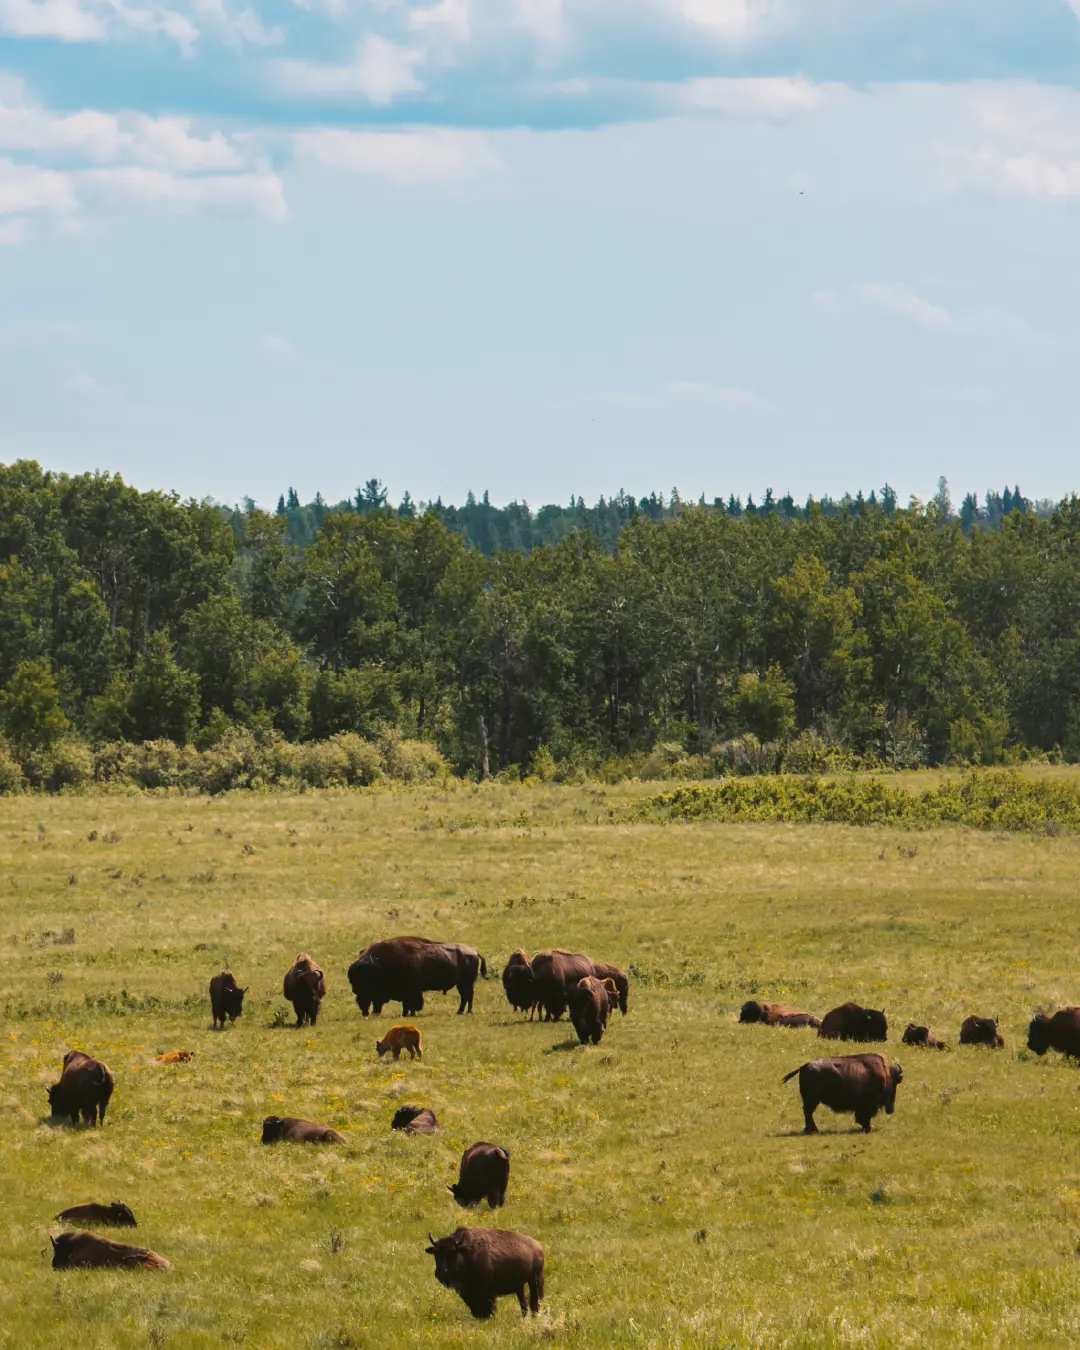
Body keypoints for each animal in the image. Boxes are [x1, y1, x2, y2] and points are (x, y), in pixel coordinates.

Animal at [348, 937, 486, 1018]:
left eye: (363, 979)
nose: (355, 991)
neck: (379, 965)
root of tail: (474, 952)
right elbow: (407, 1004)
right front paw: (407, 1014)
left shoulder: (412, 991)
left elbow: (411, 1003)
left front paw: (409, 1014)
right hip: (462, 984)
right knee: (465, 997)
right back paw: (461, 1012)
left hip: (465, 983)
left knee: (467, 996)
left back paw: (465, 1012)